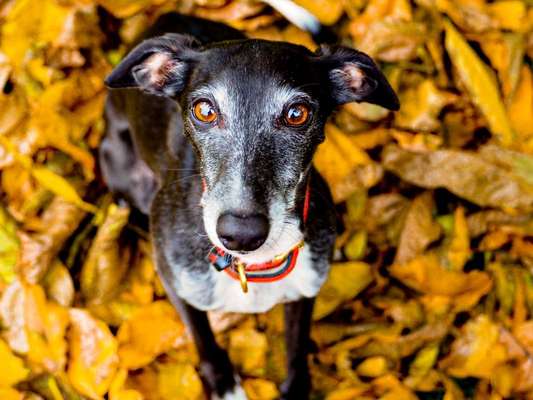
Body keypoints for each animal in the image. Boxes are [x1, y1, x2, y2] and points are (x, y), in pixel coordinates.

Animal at [100, 4, 396, 398]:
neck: (252, 266)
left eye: (297, 114)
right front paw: (224, 384)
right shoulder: (178, 285)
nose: (241, 233)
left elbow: (297, 350)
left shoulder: (306, 290)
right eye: (205, 110)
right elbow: (205, 340)